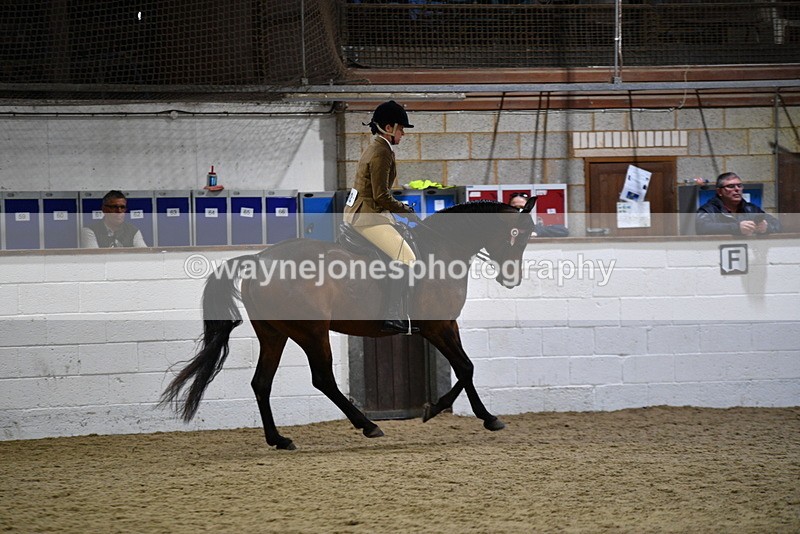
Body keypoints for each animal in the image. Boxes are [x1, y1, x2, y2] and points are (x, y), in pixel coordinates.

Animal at [161, 198, 537, 450]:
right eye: (517, 235)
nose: (512, 279)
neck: (442, 251)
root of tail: (259, 259)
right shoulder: (437, 327)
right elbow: (465, 366)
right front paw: (454, 412)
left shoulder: (447, 325)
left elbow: (466, 368)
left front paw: (460, 412)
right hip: (312, 332)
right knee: (323, 378)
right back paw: (368, 425)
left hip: (274, 334)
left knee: (261, 383)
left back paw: (279, 439)